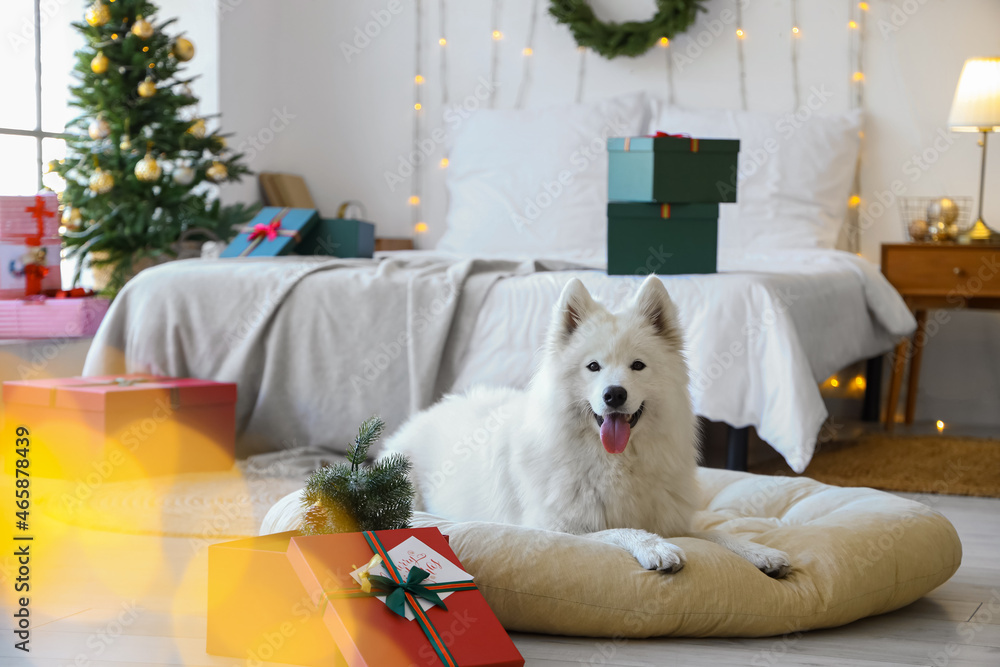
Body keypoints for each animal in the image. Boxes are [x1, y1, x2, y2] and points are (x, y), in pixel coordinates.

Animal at [378, 274, 792, 576]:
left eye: (637, 366)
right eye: (593, 366)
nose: (614, 394)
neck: (614, 462)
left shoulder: (672, 518)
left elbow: (714, 532)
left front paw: (760, 551)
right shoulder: (554, 529)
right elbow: (620, 530)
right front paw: (655, 547)